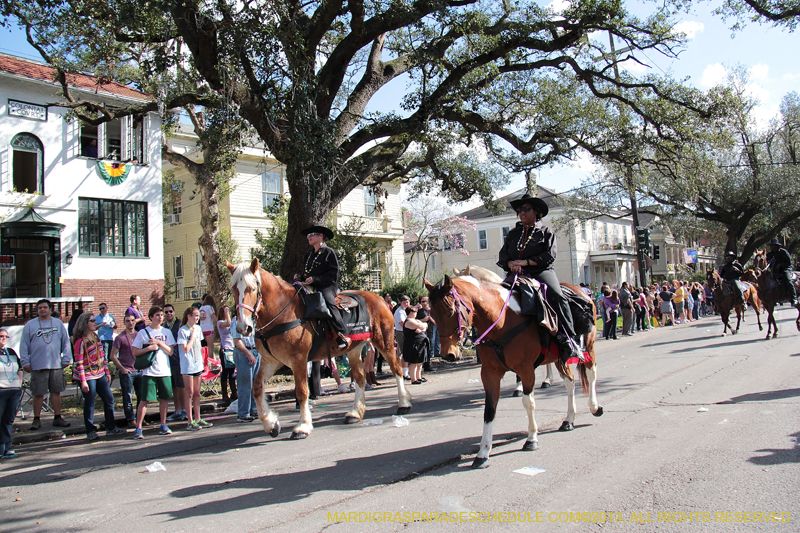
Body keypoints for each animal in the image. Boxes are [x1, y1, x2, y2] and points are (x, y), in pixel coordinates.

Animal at [227, 256, 410, 436]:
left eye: (252, 289)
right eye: (234, 289)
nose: (243, 328)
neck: (282, 312)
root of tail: (379, 298)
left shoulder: (298, 359)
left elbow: (302, 392)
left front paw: (302, 426)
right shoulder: (270, 361)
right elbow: (257, 388)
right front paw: (271, 423)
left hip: (384, 342)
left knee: (396, 368)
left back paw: (403, 404)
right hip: (354, 349)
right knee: (359, 377)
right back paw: (355, 413)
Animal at [424, 272, 600, 468]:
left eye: (450, 312)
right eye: (432, 315)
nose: (448, 355)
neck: (501, 322)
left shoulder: (526, 369)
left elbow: (528, 402)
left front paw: (531, 439)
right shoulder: (489, 373)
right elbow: (490, 408)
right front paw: (483, 453)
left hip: (589, 347)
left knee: (591, 373)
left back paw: (594, 407)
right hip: (559, 358)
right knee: (570, 382)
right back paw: (569, 419)